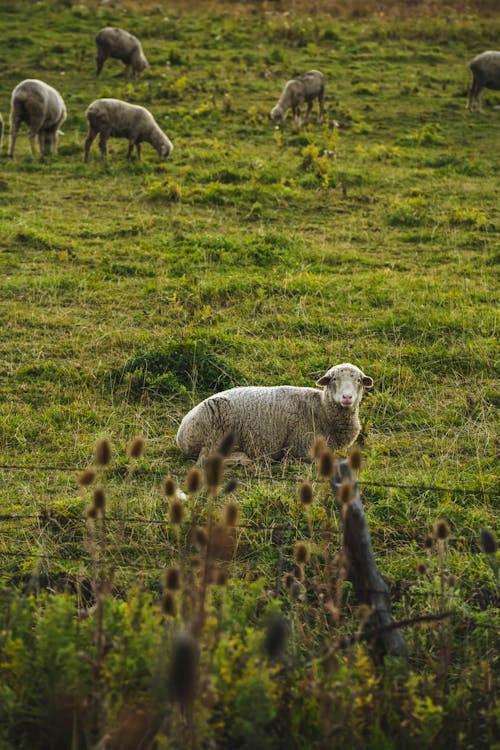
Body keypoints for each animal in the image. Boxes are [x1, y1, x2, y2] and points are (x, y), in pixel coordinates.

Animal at [174, 362, 374, 464]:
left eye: (358, 380)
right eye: (333, 379)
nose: (347, 397)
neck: (322, 410)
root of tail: (181, 433)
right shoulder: (304, 449)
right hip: (215, 434)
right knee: (206, 459)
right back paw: (244, 460)